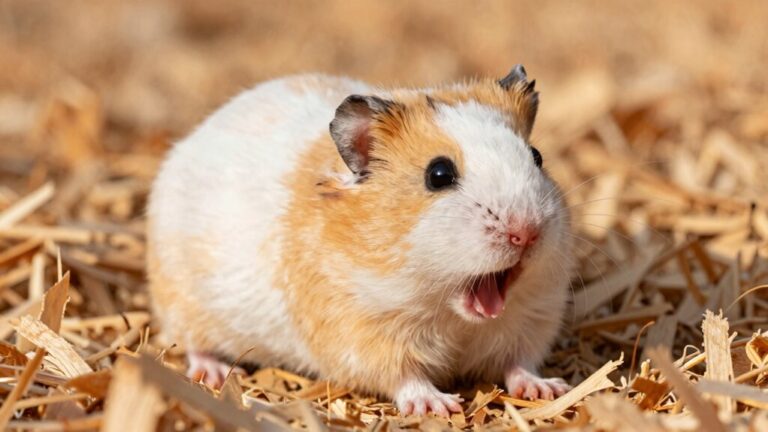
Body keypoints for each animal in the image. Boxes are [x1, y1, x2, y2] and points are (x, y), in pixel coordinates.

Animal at [147, 65, 574, 416]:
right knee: (192, 344)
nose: (527, 231)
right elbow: (404, 377)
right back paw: (213, 374)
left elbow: (520, 363)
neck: (447, 311)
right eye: (438, 174)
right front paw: (440, 406)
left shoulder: (533, 319)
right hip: (185, 305)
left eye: (536, 157)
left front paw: (548, 390)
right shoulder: (362, 332)